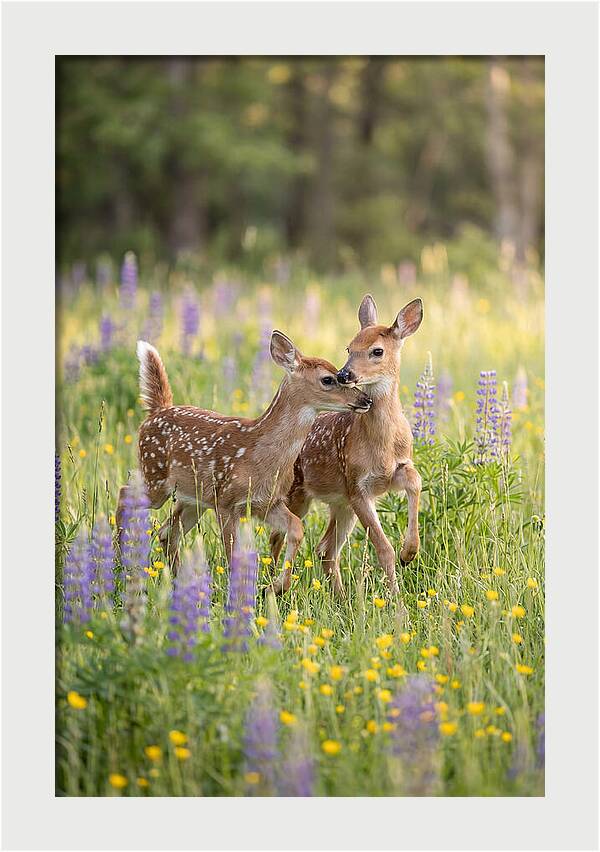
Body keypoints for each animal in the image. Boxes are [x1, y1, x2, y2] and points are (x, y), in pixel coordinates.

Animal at [116, 332, 372, 588]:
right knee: (125, 493)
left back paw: (178, 581)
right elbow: (233, 554)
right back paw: (119, 561)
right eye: (328, 379)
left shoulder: (267, 502)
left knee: (167, 532)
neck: (259, 455)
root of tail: (157, 411)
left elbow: (296, 528)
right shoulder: (226, 502)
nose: (366, 399)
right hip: (156, 477)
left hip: (193, 499)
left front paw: (277, 587)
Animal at [270, 296, 423, 597]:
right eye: (349, 348)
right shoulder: (357, 486)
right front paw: (397, 599)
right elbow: (383, 549)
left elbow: (415, 481)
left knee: (325, 549)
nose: (344, 374)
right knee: (277, 538)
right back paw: (271, 586)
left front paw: (409, 552)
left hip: (340, 504)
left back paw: (340, 598)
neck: (383, 444)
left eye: (377, 351)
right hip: (297, 494)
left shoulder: (392, 472)